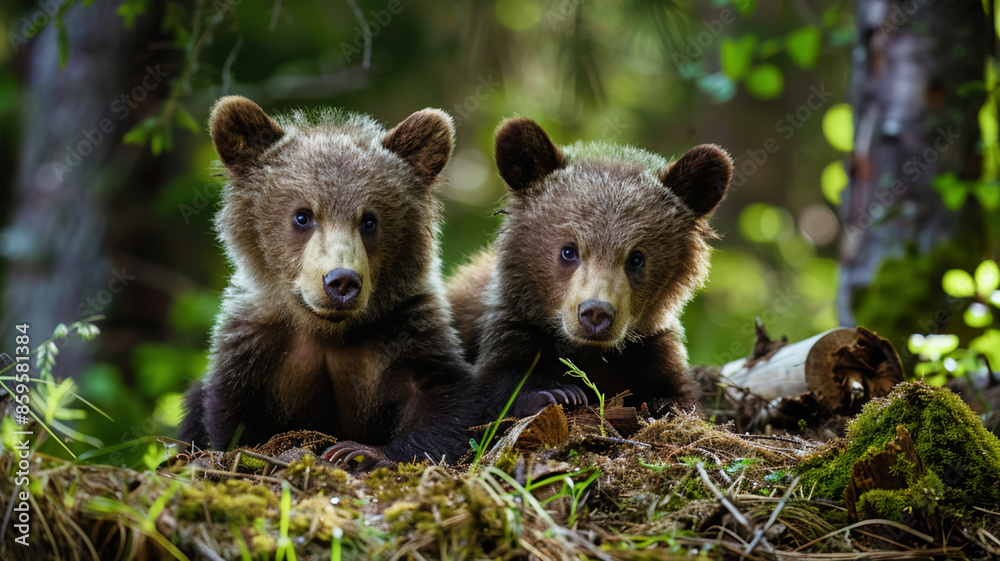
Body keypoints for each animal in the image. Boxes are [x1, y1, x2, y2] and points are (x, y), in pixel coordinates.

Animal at [179, 96, 477, 468]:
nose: (342, 281)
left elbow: (445, 400)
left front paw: (360, 451)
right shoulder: (255, 348)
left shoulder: (405, 330)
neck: (328, 331)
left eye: (369, 220)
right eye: (302, 216)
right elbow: (233, 418)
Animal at [446, 117, 733, 419]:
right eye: (568, 251)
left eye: (636, 258)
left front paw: (662, 406)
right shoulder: (511, 326)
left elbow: (676, 395)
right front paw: (559, 393)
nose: (596, 313)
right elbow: (500, 379)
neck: (590, 352)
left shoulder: (650, 350)